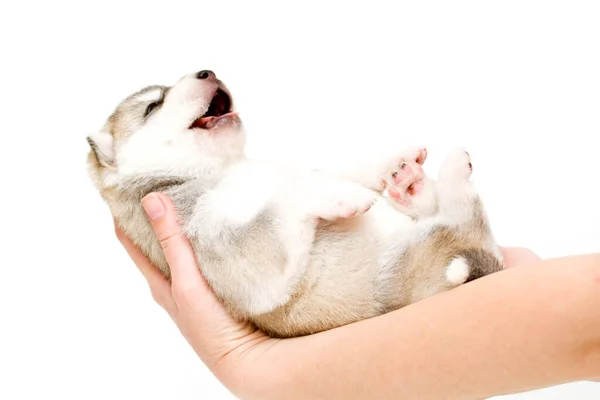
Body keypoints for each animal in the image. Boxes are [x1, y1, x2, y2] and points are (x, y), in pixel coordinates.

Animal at [86, 69, 504, 338]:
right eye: (152, 106)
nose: (207, 71)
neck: (221, 167)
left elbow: (332, 170)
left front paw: (385, 164)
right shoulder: (222, 245)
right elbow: (288, 196)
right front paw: (340, 195)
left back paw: (409, 184)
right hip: (418, 258)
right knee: (464, 212)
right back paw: (450, 175)